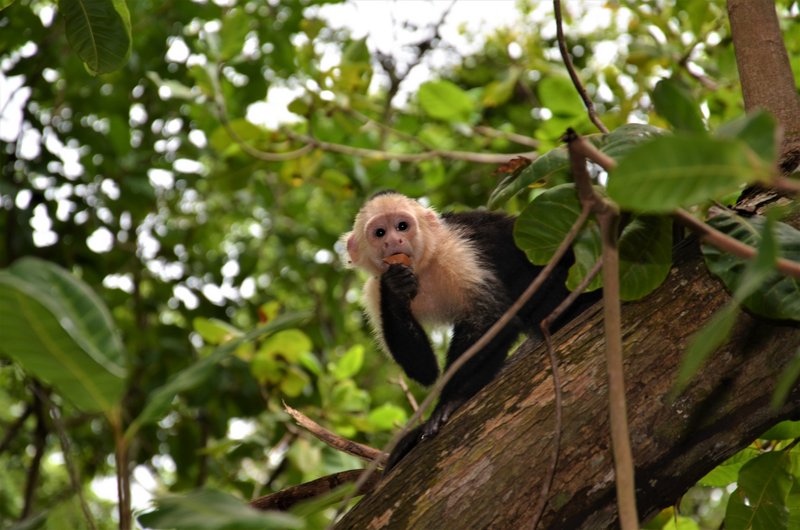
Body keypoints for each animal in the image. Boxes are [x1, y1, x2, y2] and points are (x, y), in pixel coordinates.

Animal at [344, 191, 600, 470]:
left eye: (402, 226)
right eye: (379, 232)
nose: (394, 240)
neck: (423, 268)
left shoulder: (456, 250)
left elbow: (489, 318)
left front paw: (450, 402)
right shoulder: (373, 291)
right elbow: (423, 369)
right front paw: (396, 288)